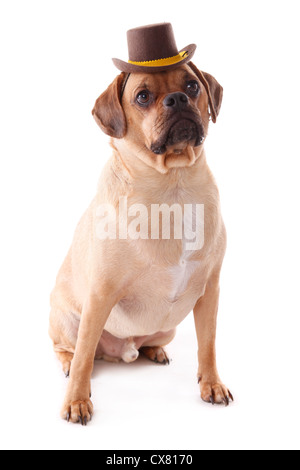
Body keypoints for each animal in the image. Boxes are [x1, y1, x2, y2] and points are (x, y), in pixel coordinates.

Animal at [48, 57, 232, 422]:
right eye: (143, 96)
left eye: (192, 86)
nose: (177, 98)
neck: (173, 187)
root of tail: (122, 351)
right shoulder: (100, 296)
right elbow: (83, 358)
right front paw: (76, 400)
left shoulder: (209, 293)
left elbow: (208, 346)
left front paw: (211, 384)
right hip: (69, 320)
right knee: (73, 350)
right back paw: (68, 363)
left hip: (169, 327)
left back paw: (154, 351)